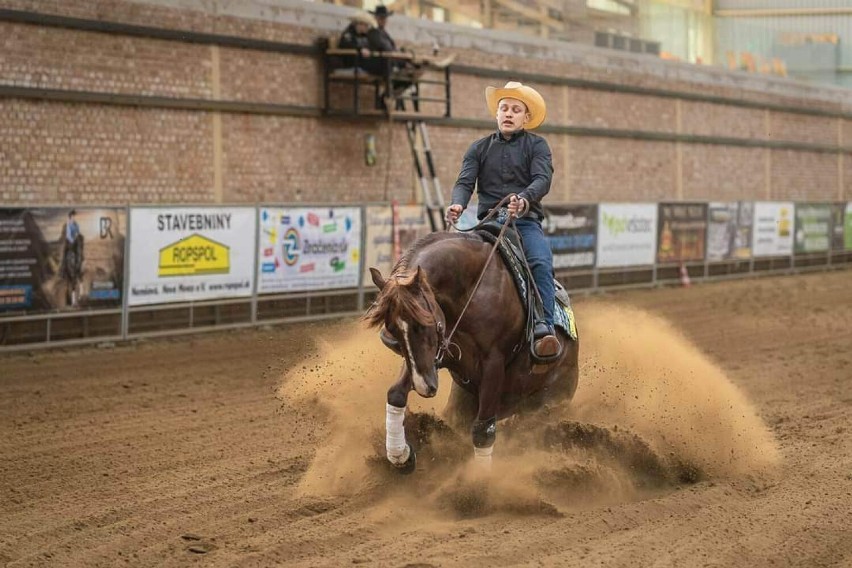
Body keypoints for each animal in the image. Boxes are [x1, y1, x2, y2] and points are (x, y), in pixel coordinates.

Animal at [366, 231, 580, 470]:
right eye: (393, 329)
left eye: (422, 323)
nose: (424, 387)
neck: (470, 289)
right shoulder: (434, 356)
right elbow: (396, 394)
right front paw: (400, 455)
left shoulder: (492, 362)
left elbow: (483, 430)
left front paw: (479, 478)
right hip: (462, 403)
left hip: (549, 404)